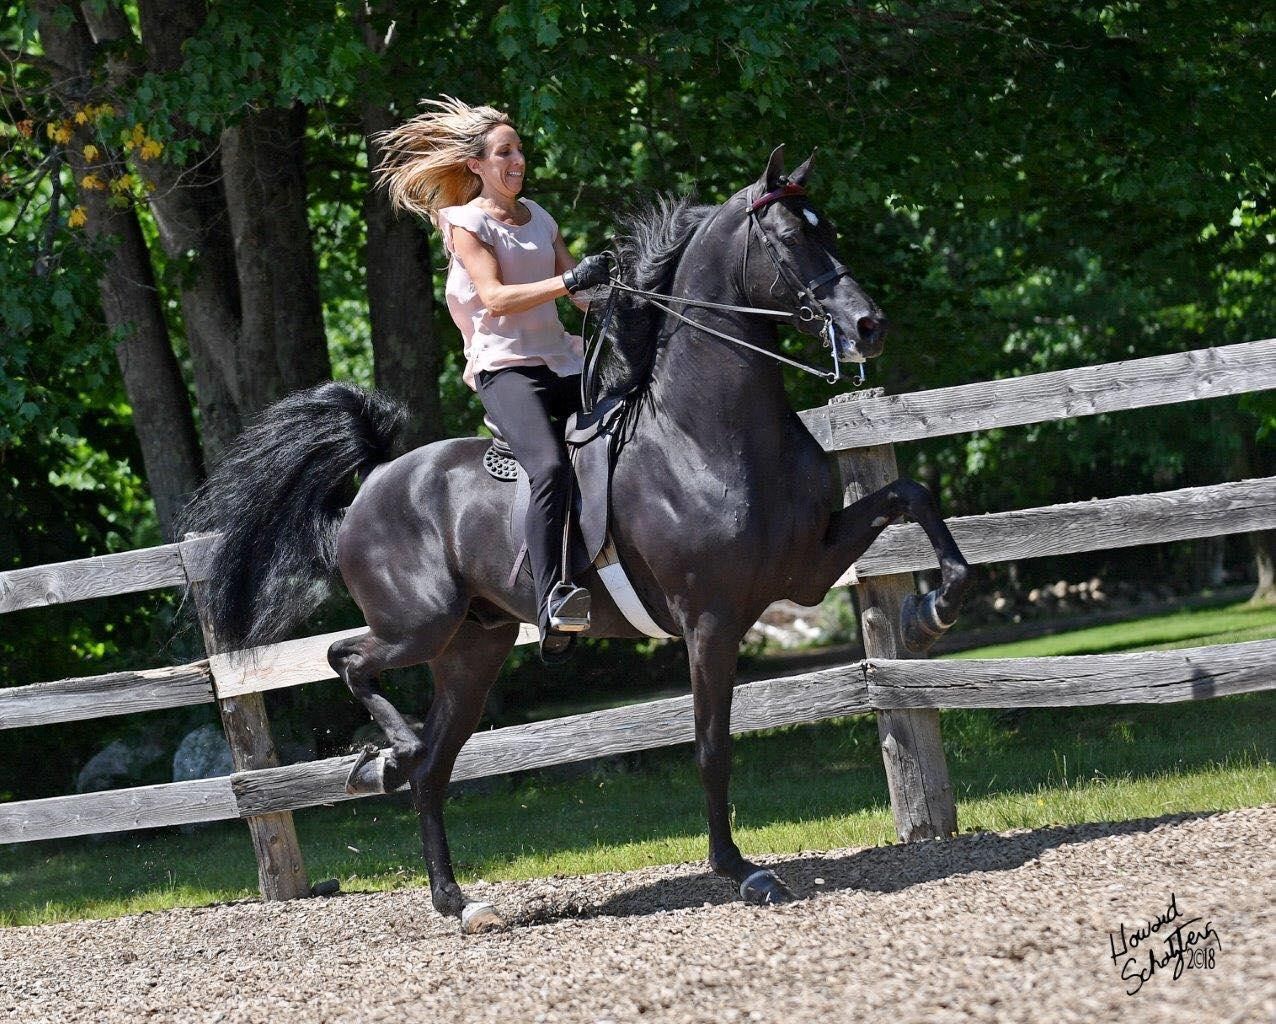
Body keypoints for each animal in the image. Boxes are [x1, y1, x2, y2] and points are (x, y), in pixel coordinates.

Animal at [182, 146, 972, 933]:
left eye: (826, 228)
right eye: (786, 239)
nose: (869, 326)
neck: (707, 430)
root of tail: (372, 483)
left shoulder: (806, 572)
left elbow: (913, 495)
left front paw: (930, 614)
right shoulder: (710, 621)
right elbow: (711, 748)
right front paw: (742, 871)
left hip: (473, 651)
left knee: (434, 769)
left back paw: (454, 897)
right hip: (418, 625)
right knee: (348, 660)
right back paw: (389, 757)